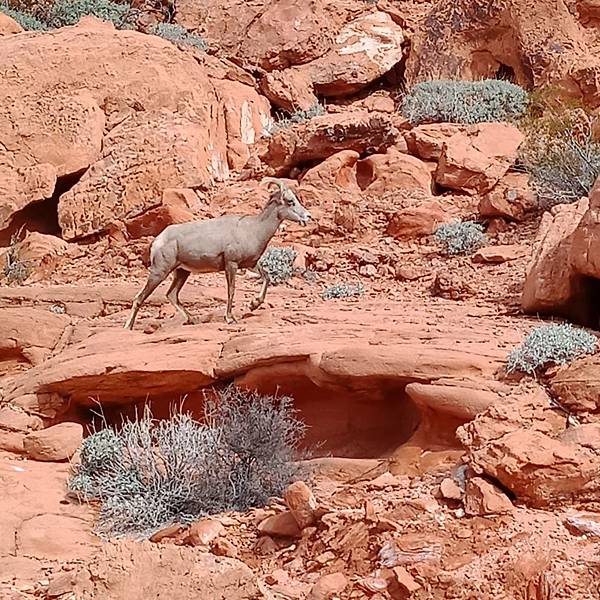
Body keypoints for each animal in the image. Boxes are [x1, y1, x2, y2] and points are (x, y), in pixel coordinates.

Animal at [124, 178, 312, 330]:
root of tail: (158, 240)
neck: (253, 229)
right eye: (290, 201)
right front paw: (230, 319)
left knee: (171, 295)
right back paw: (129, 327)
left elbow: (266, 278)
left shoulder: (250, 265)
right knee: (140, 298)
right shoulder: (231, 264)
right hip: (160, 272)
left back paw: (192, 320)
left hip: (182, 272)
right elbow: (231, 290)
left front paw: (253, 305)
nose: (308, 217)